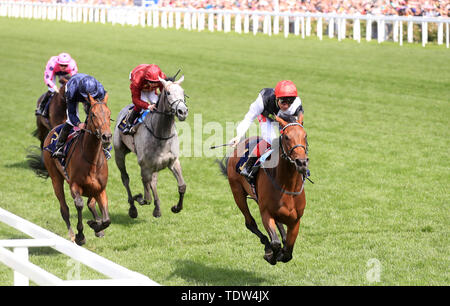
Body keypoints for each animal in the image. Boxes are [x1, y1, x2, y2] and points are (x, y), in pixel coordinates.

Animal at [28, 94, 111, 245]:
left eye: (109, 114)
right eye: (93, 115)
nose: (106, 136)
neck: (92, 159)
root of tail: (54, 129)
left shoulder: (100, 189)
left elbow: (106, 219)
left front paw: (96, 225)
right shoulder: (75, 186)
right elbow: (79, 204)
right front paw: (80, 235)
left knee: (90, 203)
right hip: (56, 178)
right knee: (64, 209)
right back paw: (72, 235)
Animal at [114, 74, 190, 218]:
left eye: (183, 92)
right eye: (168, 92)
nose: (182, 111)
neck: (161, 134)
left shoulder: (173, 162)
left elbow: (182, 186)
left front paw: (176, 208)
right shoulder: (145, 166)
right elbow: (146, 197)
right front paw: (137, 197)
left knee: (153, 182)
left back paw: (157, 208)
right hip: (119, 153)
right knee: (125, 178)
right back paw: (133, 208)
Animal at [218, 113, 310, 264]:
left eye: (305, 135)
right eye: (286, 137)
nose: (301, 162)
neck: (287, 186)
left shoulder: (296, 220)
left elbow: (288, 252)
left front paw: (282, 251)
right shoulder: (265, 212)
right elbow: (275, 243)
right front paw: (271, 255)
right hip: (237, 192)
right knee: (250, 223)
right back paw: (267, 246)